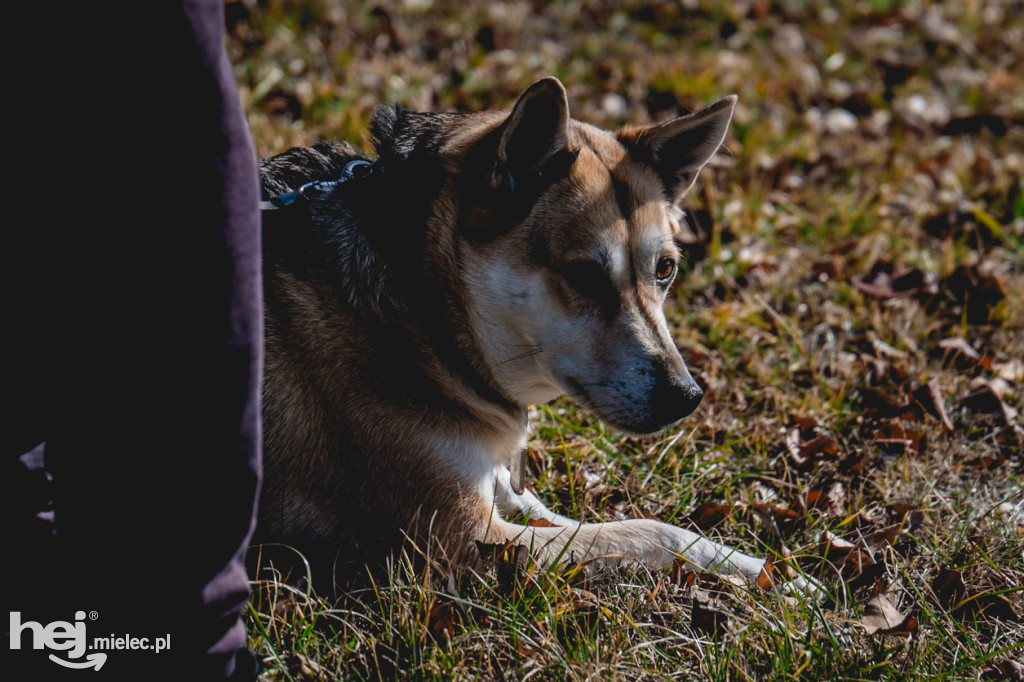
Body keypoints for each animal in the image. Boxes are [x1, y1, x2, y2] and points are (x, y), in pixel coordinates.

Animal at [258, 78, 815, 589]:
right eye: (585, 275)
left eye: (665, 269)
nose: (687, 396)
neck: (427, 316)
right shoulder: (460, 538)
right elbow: (646, 532)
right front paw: (764, 579)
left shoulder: (501, 490)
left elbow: (604, 521)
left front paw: (769, 572)